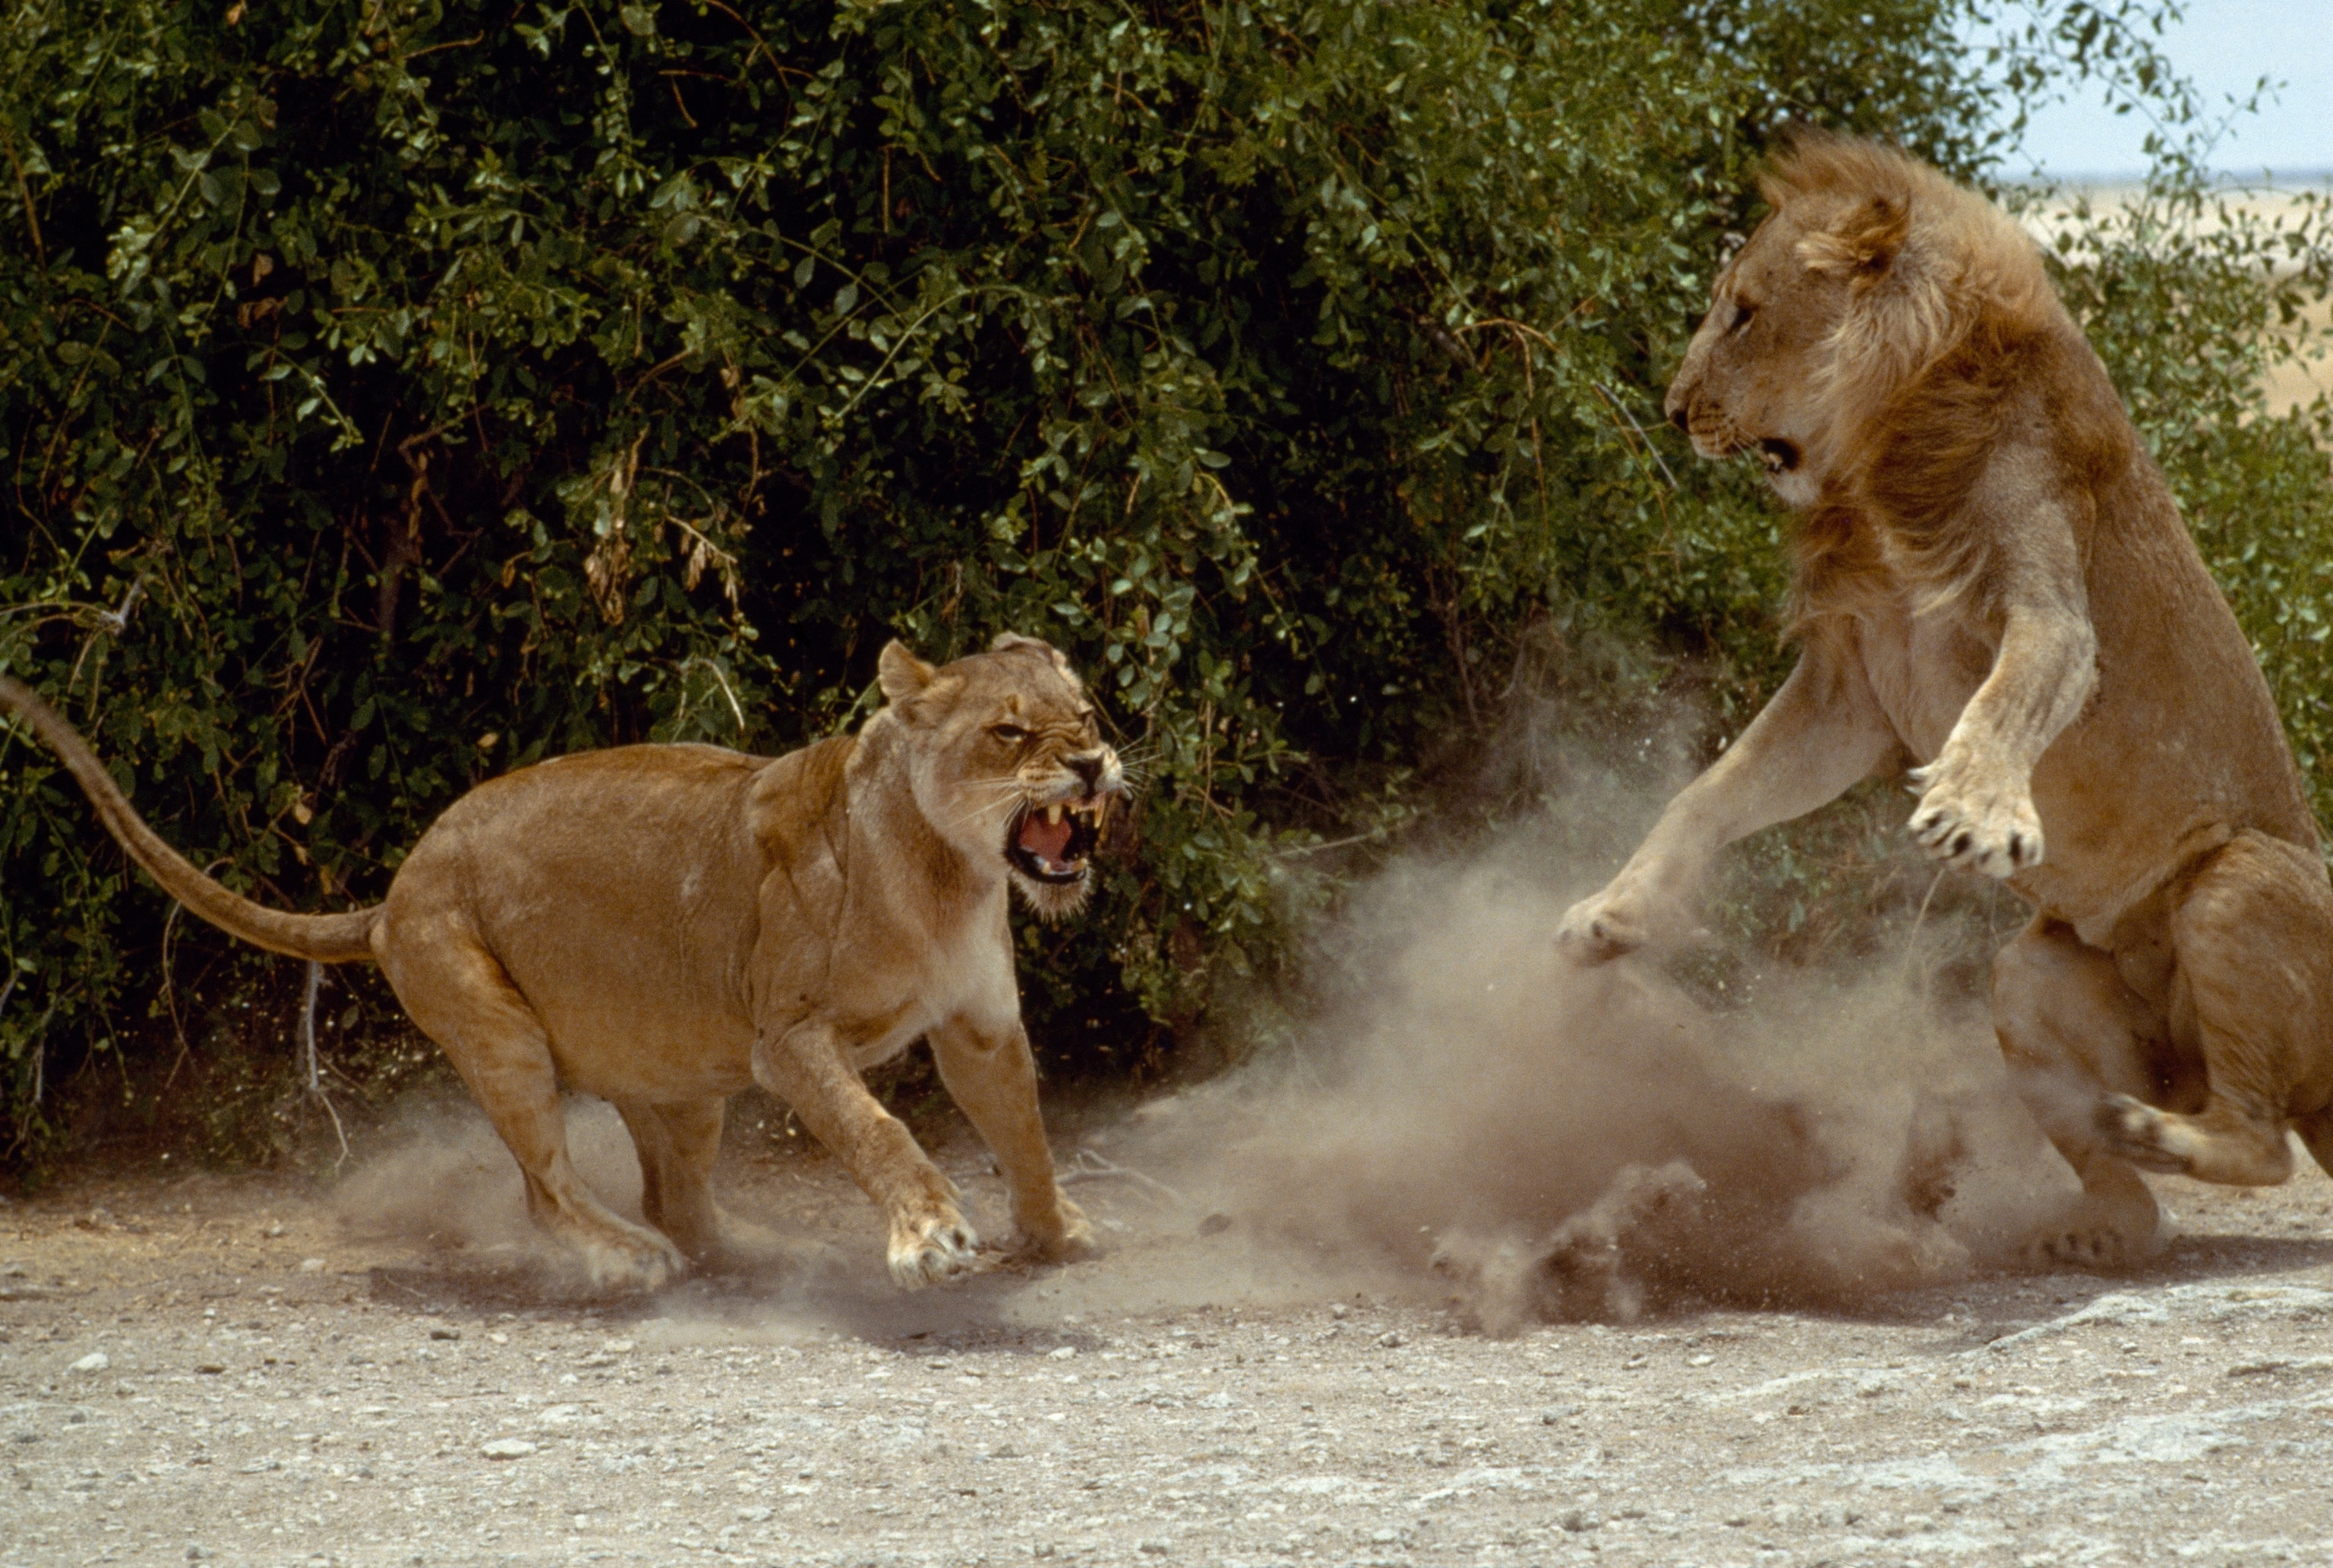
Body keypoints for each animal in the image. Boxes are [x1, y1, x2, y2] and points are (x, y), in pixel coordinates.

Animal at [0, 633, 1120, 1292]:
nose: (1092, 763)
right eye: (1009, 731)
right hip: (499, 1031)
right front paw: (930, 1236)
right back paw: (630, 1261)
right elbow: (880, 1129)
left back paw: (771, 1252)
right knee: (553, 1188)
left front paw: (1058, 1231)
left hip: (681, 1075)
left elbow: (1023, 1131)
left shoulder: (980, 1027)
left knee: (682, 1200)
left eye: (1087, 717)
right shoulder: (791, 1035)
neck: (947, 876)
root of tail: (391, 891)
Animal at [1556, 130, 2333, 1265]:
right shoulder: (1851, 685)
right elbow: (1708, 795)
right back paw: (2091, 1216)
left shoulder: (2050, 610)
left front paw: (1974, 812)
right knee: (2155, 1184)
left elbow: (2005, 704)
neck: (1875, 457)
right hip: (2028, 978)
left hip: (2237, 882)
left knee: (2263, 1140)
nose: (1671, 409)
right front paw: (1609, 918)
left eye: (1742, 312)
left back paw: (2149, 1129)